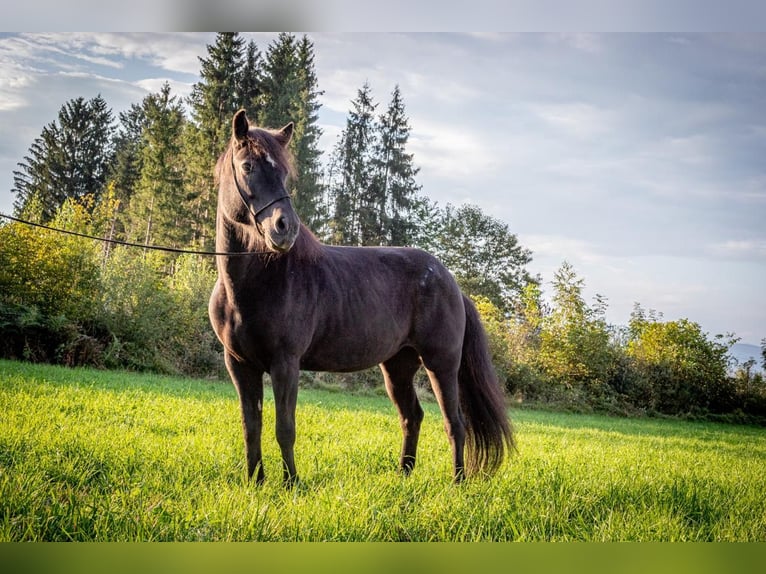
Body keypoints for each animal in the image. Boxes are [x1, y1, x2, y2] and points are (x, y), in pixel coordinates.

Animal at [208, 110, 516, 488]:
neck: (255, 284)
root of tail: (452, 283)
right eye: (248, 165)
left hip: (441, 364)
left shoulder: (285, 364)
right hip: (398, 366)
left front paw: (291, 484)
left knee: (454, 422)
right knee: (412, 416)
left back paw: (457, 482)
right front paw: (256, 482)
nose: (285, 228)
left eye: (283, 172)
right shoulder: (239, 364)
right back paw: (403, 474)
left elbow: (284, 428)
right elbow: (251, 427)